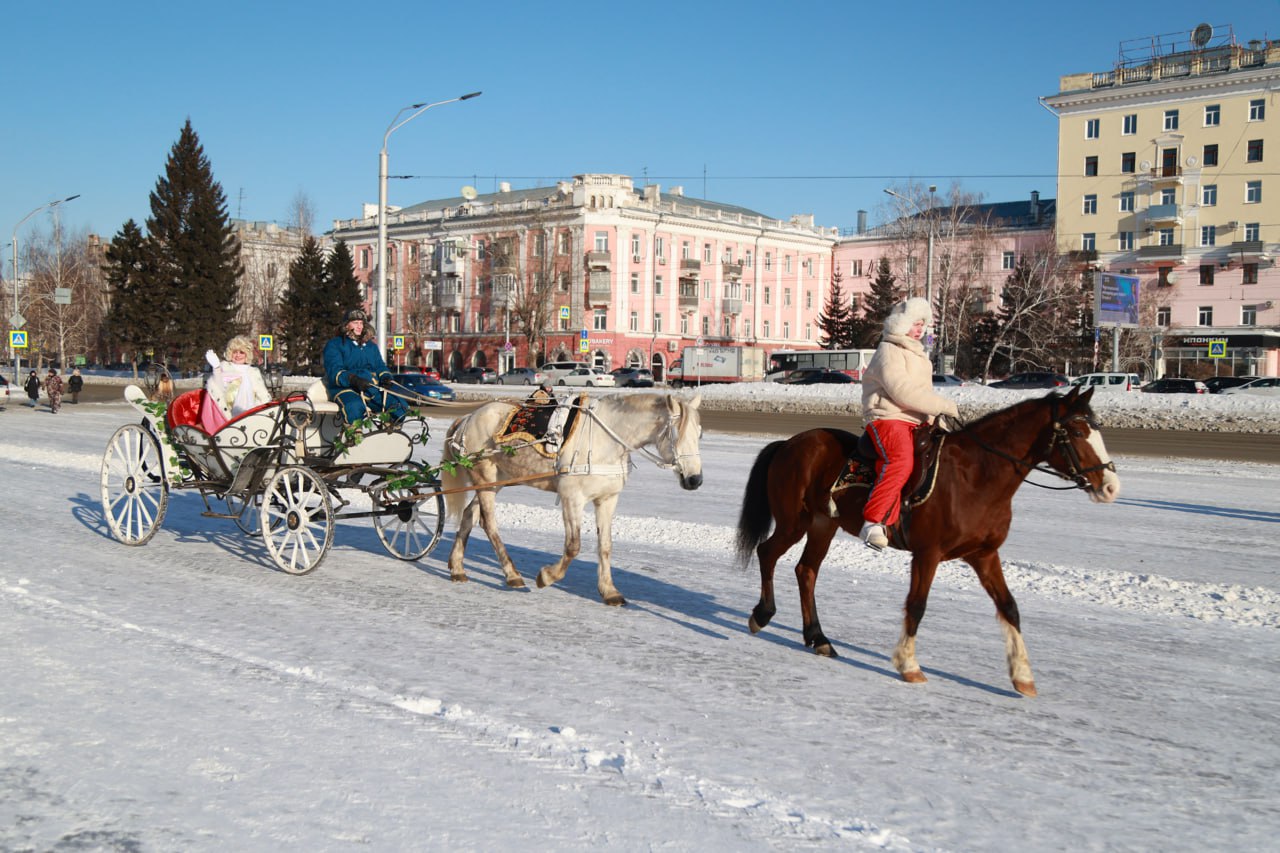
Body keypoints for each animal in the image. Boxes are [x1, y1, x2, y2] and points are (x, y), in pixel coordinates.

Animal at [437, 391, 701, 604]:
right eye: (676, 434)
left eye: (699, 434)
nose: (695, 479)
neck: (606, 440)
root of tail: (467, 417)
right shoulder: (572, 497)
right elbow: (574, 546)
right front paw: (547, 576)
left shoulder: (607, 499)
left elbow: (605, 545)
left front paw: (609, 590)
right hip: (485, 478)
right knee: (488, 522)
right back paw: (512, 574)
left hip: (496, 481)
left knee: (470, 514)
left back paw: (457, 567)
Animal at [737, 389, 1116, 696]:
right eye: (1078, 431)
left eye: (1097, 429)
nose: (1111, 486)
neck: (976, 476)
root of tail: (789, 443)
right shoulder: (927, 554)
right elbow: (917, 606)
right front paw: (909, 665)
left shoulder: (985, 555)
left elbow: (1009, 607)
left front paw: (1022, 676)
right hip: (795, 522)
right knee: (767, 553)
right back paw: (763, 614)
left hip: (822, 524)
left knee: (806, 571)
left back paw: (818, 638)